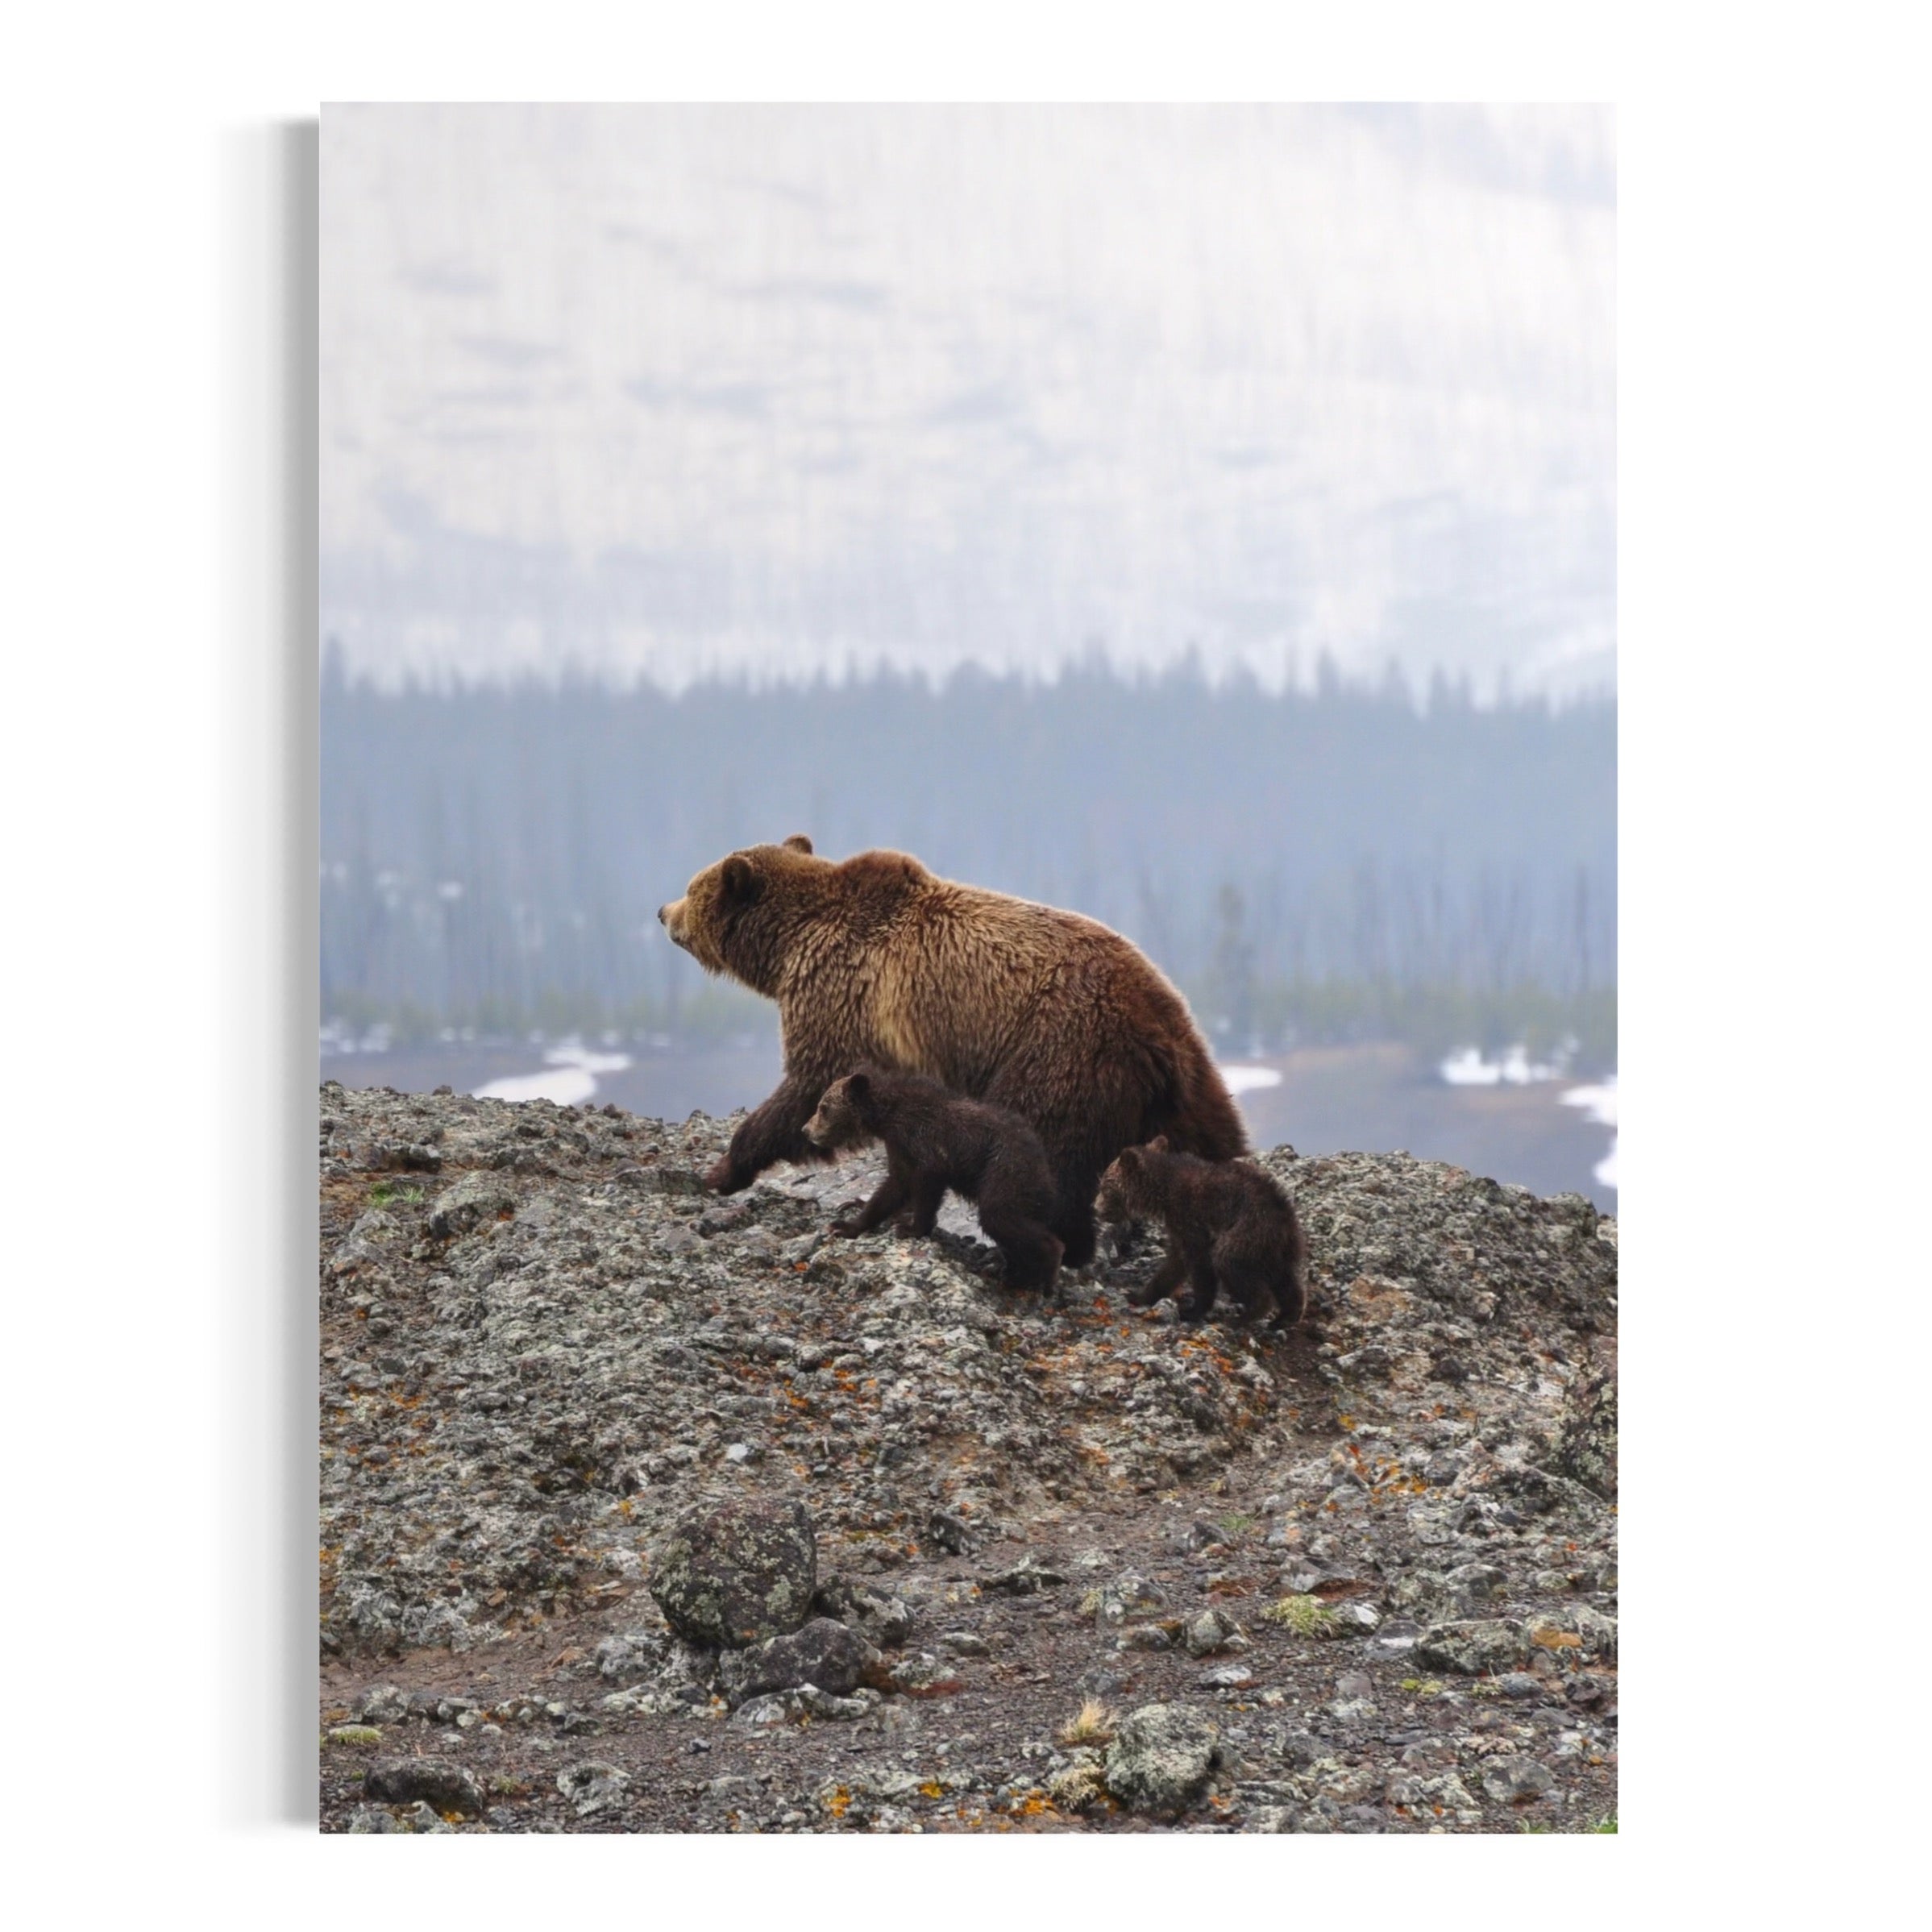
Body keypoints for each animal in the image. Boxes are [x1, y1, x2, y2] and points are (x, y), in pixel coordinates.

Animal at [658, 836, 1248, 1266]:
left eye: (692, 885)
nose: (663, 910)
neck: (788, 946)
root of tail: (1156, 1030)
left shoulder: (840, 994)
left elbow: (808, 1085)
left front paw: (725, 1168)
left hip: (1059, 1052)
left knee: (1046, 1151)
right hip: (1190, 1076)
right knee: (1216, 1140)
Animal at [802, 1066, 1064, 1292]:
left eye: (823, 1107)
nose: (806, 1129)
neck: (887, 1115)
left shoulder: (926, 1143)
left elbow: (926, 1185)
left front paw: (910, 1227)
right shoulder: (899, 1147)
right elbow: (893, 1187)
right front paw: (846, 1222)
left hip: (1005, 1170)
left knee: (1000, 1215)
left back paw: (1044, 1273)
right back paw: (1016, 1272)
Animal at [1095, 1136, 1306, 1326]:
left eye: (1104, 1186)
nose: (1096, 1208)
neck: (1162, 1192)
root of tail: (1285, 1218)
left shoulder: (1189, 1217)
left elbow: (1199, 1262)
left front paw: (1192, 1311)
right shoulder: (1177, 1226)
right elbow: (1174, 1264)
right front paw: (1139, 1296)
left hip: (1248, 1230)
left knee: (1228, 1261)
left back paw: (1244, 1316)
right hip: (1274, 1249)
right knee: (1284, 1278)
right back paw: (1285, 1317)